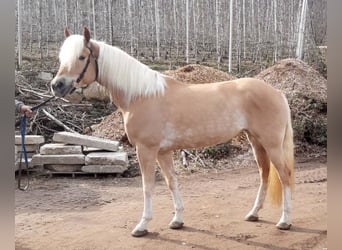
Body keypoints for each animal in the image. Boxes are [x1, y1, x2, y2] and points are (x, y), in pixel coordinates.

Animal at [50, 27, 294, 236]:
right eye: (62, 58)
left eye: (82, 57)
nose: (57, 85)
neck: (141, 96)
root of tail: (277, 92)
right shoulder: (163, 152)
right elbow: (171, 182)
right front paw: (177, 220)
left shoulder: (146, 150)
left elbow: (147, 187)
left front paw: (142, 225)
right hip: (256, 141)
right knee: (264, 174)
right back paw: (253, 214)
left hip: (271, 143)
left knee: (284, 175)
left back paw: (285, 221)